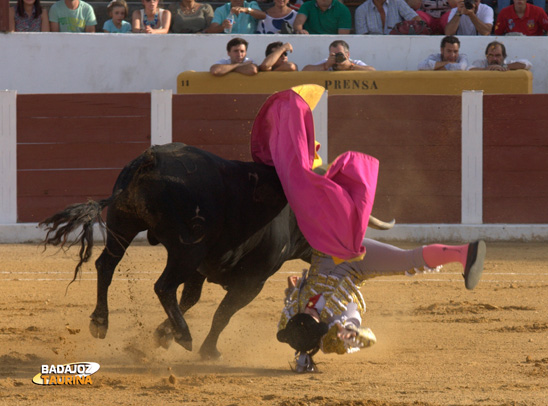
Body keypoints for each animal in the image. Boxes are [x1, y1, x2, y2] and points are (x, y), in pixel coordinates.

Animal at [41, 142, 394, 358]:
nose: (357, 251)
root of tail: (151, 159)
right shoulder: (252, 281)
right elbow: (222, 313)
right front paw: (207, 350)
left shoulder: (202, 270)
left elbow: (191, 299)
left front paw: (162, 335)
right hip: (186, 249)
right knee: (162, 285)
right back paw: (185, 337)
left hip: (123, 225)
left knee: (107, 267)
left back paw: (101, 323)